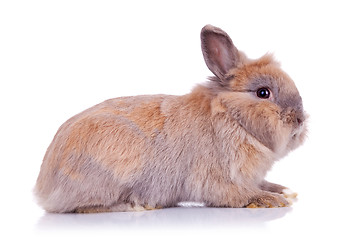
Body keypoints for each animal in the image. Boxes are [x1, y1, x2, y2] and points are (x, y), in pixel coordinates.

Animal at [34, 24, 306, 214]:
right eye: (263, 93)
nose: (300, 120)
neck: (231, 116)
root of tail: (43, 187)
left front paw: (286, 191)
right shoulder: (218, 179)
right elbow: (240, 194)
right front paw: (271, 200)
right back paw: (137, 205)